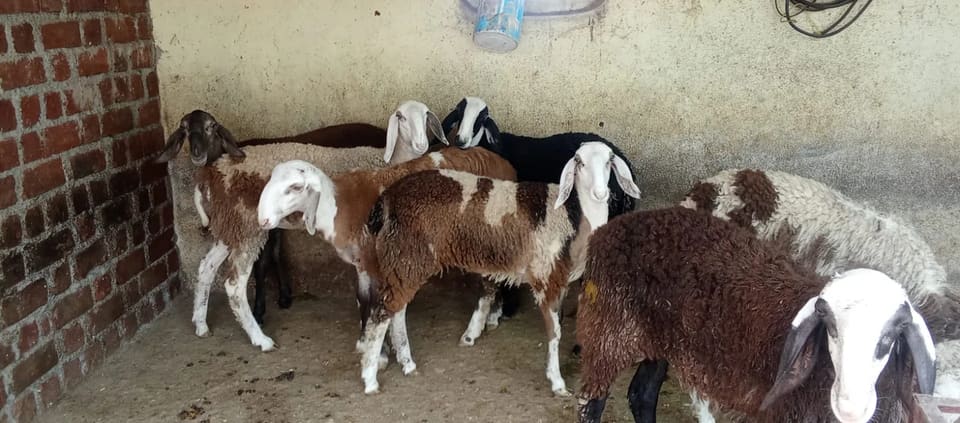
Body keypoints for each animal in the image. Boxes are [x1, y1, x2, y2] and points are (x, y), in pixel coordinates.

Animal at [156, 109, 387, 324]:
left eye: (211, 126)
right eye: (184, 128)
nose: (197, 153)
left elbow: (263, 263)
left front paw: (259, 309)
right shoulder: (272, 222)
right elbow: (276, 254)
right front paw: (284, 295)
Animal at [191, 143, 385, 351]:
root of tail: (212, 172)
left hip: (230, 227)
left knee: (206, 267)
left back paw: (201, 324)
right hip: (247, 227)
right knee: (234, 285)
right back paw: (260, 339)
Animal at [256, 146, 517, 365]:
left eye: (295, 187)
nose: (263, 221)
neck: (340, 208)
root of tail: (503, 163)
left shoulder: (375, 261)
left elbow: (376, 302)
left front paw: (381, 353)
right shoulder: (361, 263)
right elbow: (362, 299)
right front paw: (368, 343)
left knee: (488, 285)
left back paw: (471, 333)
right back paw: (493, 317)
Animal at [353, 141, 642, 395]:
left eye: (610, 161)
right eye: (579, 162)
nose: (601, 194)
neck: (575, 215)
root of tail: (387, 198)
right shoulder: (547, 276)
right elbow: (555, 332)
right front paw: (557, 382)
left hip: (403, 262)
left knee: (397, 311)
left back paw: (407, 363)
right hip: (407, 256)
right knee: (381, 315)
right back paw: (370, 379)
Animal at [575, 206, 938, 423]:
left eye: (890, 338)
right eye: (830, 328)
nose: (850, 406)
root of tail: (608, 231)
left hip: (658, 337)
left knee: (642, 394)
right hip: (610, 328)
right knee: (591, 402)